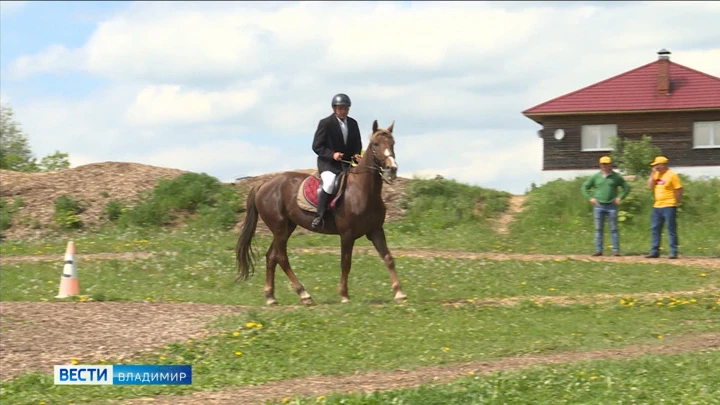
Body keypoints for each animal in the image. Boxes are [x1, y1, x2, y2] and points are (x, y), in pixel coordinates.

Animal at [235, 119, 404, 304]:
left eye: (393, 143)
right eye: (375, 144)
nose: (392, 169)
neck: (363, 191)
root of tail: (264, 184)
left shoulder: (376, 231)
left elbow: (388, 258)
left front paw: (399, 293)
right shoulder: (347, 234)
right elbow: (346, 263)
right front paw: (344, 294)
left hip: (287, 228)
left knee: (271, 256)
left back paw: (271, 296)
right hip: (279, 228)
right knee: (281, 257)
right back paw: (304, 294)